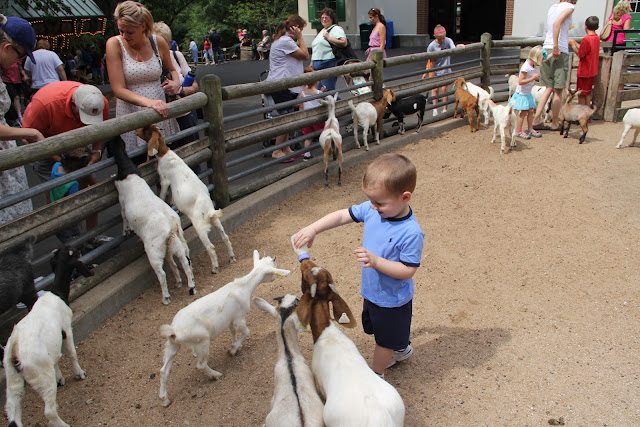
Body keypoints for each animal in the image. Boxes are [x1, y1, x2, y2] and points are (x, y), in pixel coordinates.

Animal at [4, 246, 93, 427]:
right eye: (72, 251)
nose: (81, 250)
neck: (56, 292)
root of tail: (15, 350)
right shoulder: (66, 329)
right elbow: (71, 353)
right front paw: (79, 374)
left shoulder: (53, 343)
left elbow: (56, 358)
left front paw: (60, 377)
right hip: (41, 375)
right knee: (49, 411)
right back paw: (64, 424)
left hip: (12, 378)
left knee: (12, 410)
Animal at [107, 136, 196, 305]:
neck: (128, 171)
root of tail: (171, 223)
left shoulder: (121, 198)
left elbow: (123, 215)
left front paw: (126, 231)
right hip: (176, 243)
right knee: (184, 262)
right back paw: (189, 286)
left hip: (154, 250)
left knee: (161, 273)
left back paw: (166, 297)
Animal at [135, 125, 236, 273]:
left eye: (144, 130)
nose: (135, 131)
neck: (165, 153)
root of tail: (210, 212)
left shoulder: (164, 179)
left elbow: (163, 193)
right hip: (217, 222)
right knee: (226, 237)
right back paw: (232, 258)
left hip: (200, 227)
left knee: (210, 247)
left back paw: (214, 268)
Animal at [158, 250, 290, 407]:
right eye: (273, 266)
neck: (243, 287)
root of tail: (174, 331)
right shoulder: (239, 317)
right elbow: (246, 332)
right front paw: (232, 350)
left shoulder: (230, 320)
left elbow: (233, 332)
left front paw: (236, 346)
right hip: (202, 342)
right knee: (201, 365)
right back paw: (215, 374)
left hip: (172, 345)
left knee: (164, 370)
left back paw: (164, 398)